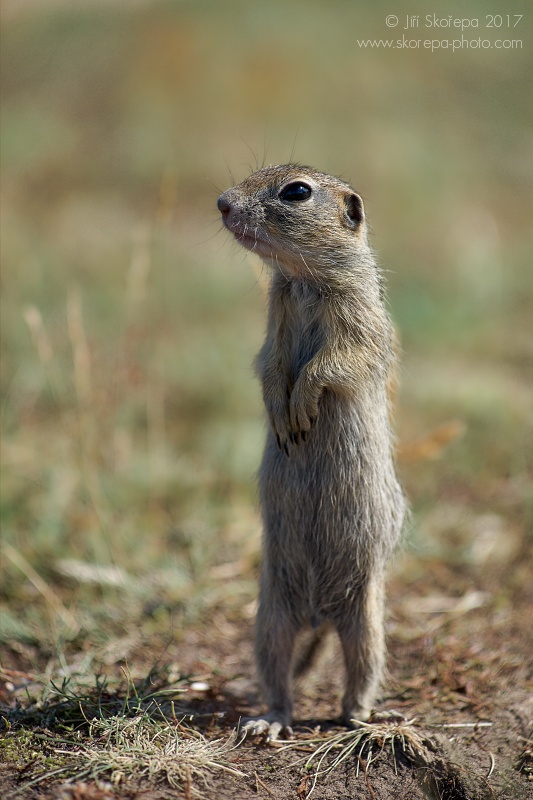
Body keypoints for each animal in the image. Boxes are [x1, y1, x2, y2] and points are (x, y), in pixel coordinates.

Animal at [218, 166, 406, 740]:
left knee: (362, 671)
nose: (222, 203)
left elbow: (334, 364)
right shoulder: (274, 322)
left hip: (366, 616)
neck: (302, 280)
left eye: (296, 191)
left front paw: (302, 404)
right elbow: (270, 365)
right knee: (277, 676)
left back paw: (362, 718)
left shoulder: (360, 323)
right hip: (270, 617)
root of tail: (320, 613)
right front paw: (283, 414)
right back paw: (269, 721)